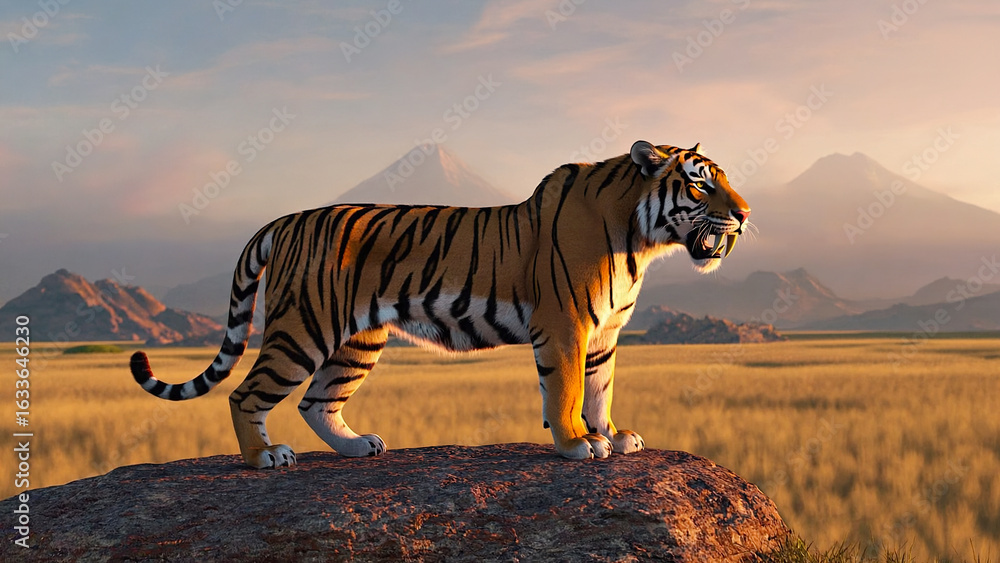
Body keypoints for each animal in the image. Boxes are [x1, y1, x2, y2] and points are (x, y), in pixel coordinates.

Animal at [130, 140, 751, 468]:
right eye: (700, 184)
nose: (746, 214)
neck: (640, 240)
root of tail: (284, 220)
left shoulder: (604, 335)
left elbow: (600, 390)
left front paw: (614, 436)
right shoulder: (566, 325)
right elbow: (567, 391)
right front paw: (577, 444)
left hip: (356, 341)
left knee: (316, 402)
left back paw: (357, 447)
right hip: (302, 328)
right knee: (246, 393)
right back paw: (264, 458)